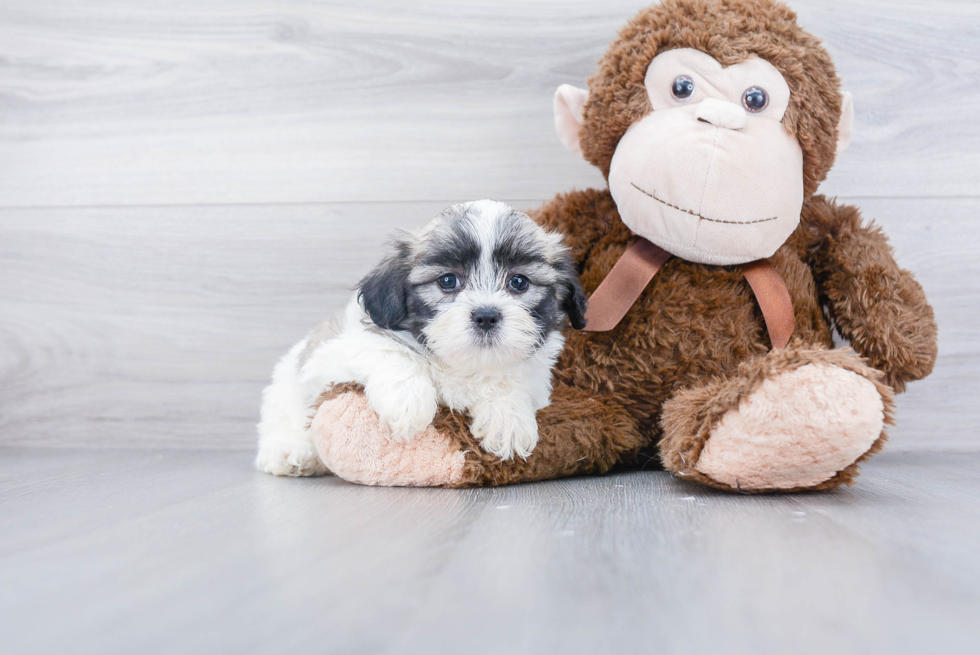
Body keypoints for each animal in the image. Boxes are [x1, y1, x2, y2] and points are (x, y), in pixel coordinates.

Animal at [256, 200, 584, 476]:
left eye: (518, 282)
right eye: (448, 281)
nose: (486, 315)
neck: (462, 366)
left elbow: (510, 385)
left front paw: (509, 420)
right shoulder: (334, 351)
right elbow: (388, 350)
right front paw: (407, 402)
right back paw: (292, 453)